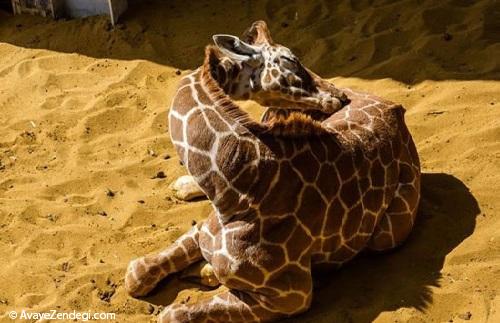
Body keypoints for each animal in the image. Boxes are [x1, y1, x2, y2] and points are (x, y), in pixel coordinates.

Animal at [126, 21, 422, 322]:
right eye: (291, 60)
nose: (340, 96)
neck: (232, 187)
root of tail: (396, 108)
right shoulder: (203, 230)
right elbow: (136, 274)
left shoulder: (292, 295)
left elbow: (173, 313)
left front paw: (205, 275)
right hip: (275, 114)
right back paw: (182, 187)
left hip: (387, 235)